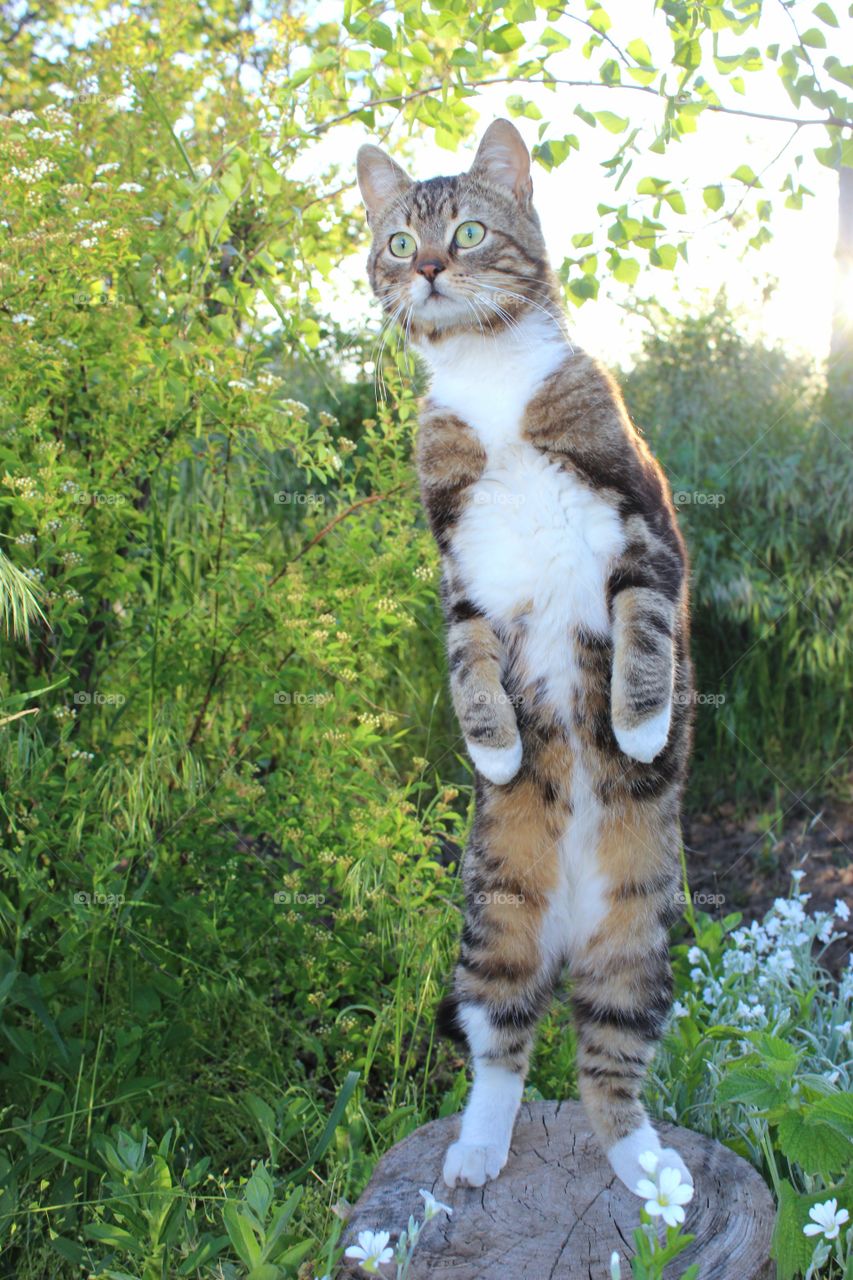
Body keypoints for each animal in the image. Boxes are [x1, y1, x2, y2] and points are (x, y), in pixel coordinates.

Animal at [356, 120, 696, 1198]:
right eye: (396, 241)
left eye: (466, 230)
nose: (426, 268)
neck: (493, 382)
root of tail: (568, 930)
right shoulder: (457, 564)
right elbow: (468, 657)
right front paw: (497, 747)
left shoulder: (644, 528)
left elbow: (643, 627)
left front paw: (639, 724)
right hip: (494, 920)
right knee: (500, 1043)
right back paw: (474, 1148)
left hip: (638, 946)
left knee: (606, 1065)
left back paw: (647, 1170)